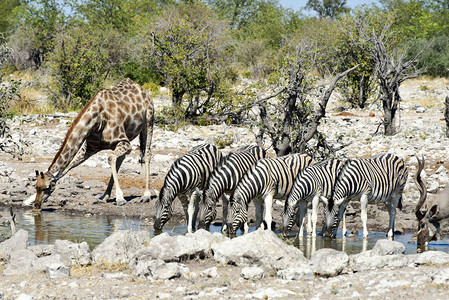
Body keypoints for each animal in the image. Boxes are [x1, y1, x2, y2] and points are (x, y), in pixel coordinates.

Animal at [24, 78, 154, 212]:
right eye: (36, 187)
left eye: (46, 188)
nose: (36, 206)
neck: (97, 120)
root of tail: (143, 90)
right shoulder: (90, 148)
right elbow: (67, 167)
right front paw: (28, 200)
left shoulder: (125, 142)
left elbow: (110, 158)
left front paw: (120, 198)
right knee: (120, 159)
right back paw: (104, 195)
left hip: (149, 120)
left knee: (147, 153)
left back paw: (146, 195)